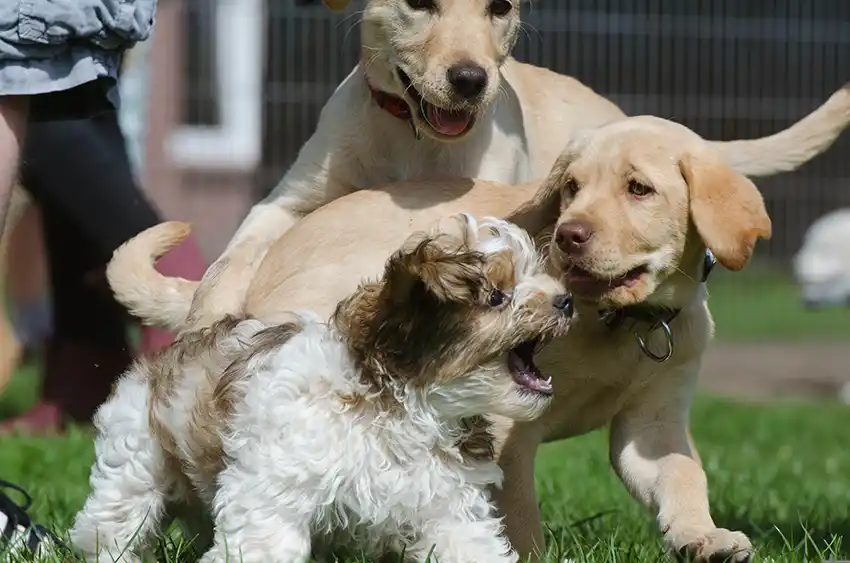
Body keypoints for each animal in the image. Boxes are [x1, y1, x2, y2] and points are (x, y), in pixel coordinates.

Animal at [68, 216, 568, 563]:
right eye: (497, 298)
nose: (566, 300)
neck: (402, 406)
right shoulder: (274, 481)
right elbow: (267, 541)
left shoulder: (449, 500)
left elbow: (469, 541)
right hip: (135, 457)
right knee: (113, 522)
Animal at [181, 0, 848, 330]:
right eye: (419, 2)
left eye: (499, 7)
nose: (471, 79)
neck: (413, 137)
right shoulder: (290, 201)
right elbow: (230, 259)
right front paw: (206, 321)